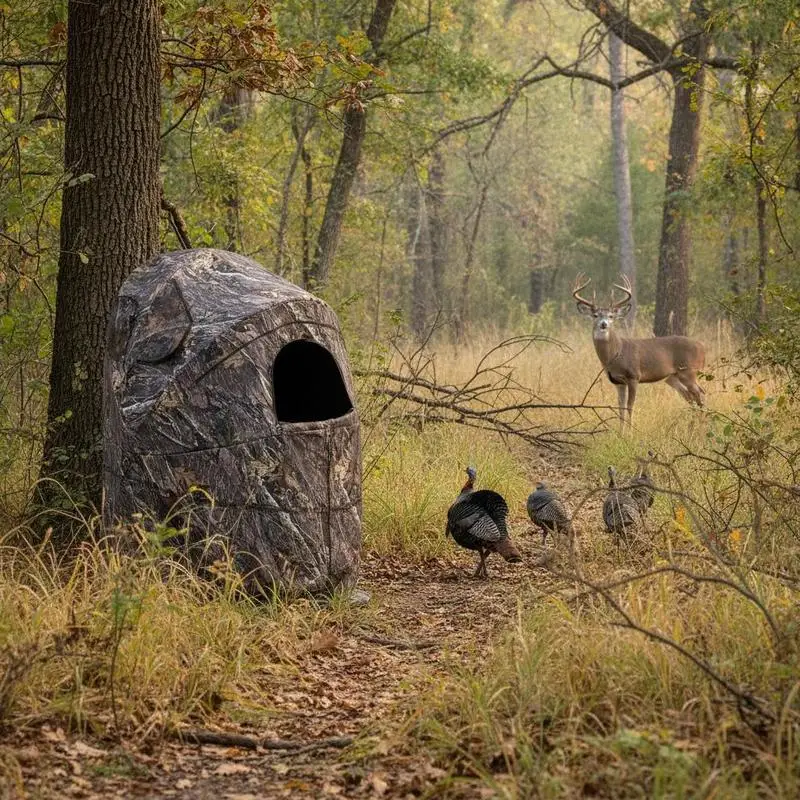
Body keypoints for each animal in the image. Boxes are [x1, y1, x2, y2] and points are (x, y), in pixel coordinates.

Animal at [572, 274, 706, 429]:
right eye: (595, 315)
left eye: (611, 316)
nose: (603, 324)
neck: (616, 353)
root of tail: (702, 347)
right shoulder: (618, 382)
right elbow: (621, 407)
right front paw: (621, 432)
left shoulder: (634, 376)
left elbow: (630, 406)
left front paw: (631, 431)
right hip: (673, 377)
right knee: (691, 397)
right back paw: (693, 426)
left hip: (689, 371)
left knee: (701, 394)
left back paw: (702, 426)